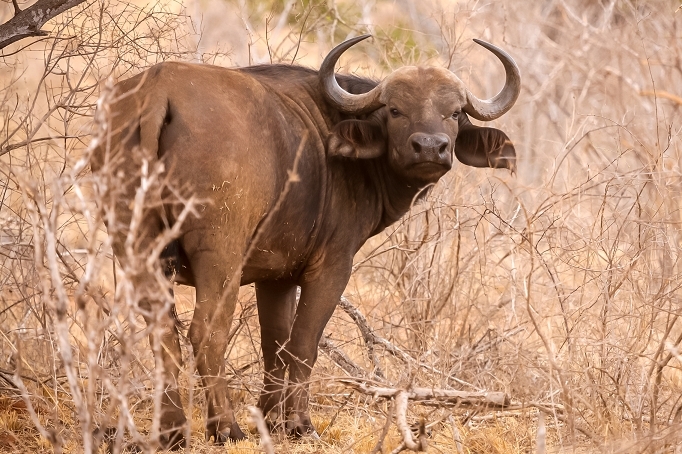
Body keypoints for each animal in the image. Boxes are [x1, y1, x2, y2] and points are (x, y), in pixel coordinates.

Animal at [89, 34, 516, 446]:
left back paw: (173, 431)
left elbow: (275, 345)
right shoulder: (331, 266)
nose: (430, 147)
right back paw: (225, 428)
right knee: (206, 333)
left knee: (162, 334)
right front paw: (297, 424)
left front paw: (270, 418)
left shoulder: (275, 277)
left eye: (455, 112)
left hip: (136, 247)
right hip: (220, 255)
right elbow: (304, 342)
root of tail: (159, 89)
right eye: (396, 110)